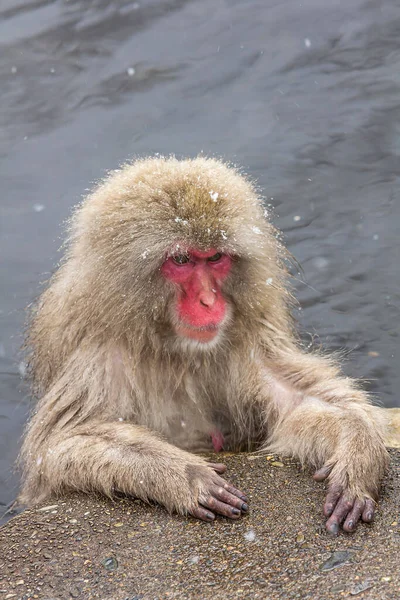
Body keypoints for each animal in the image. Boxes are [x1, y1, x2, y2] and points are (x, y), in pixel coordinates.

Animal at [18, 157, 388, 532]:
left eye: (215, 258)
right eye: (181, 260)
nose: (209, 301)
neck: (173, 345)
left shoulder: (248, 337)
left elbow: (296, 399)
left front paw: (358, 456)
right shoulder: (100, 351)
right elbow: (59, 443)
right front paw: (185, 476)